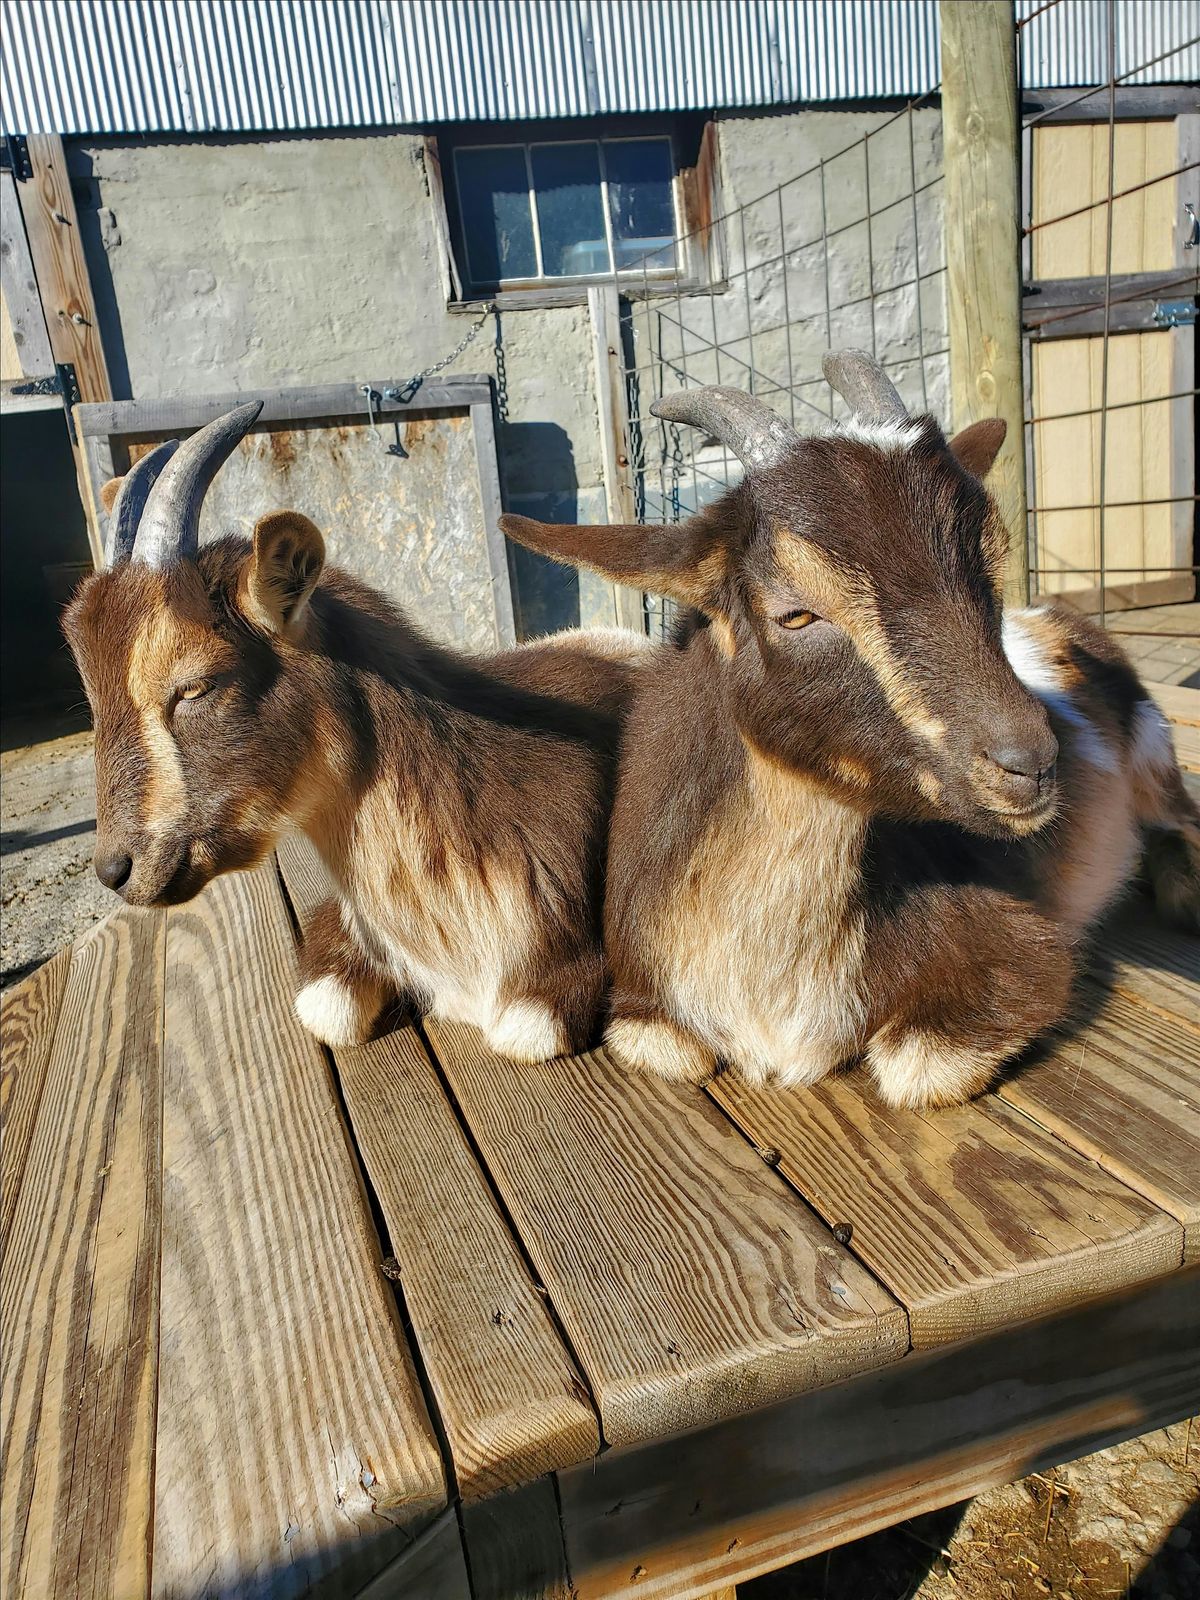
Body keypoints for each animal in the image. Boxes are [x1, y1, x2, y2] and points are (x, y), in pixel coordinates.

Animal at [500, 352, 1200, 1108]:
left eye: (989, 572)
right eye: (796, 613)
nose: (1032, 764)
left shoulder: (1019, 956)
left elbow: (916, 1070)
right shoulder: (645, 1007)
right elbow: (662, 1049)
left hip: (1153, 746)